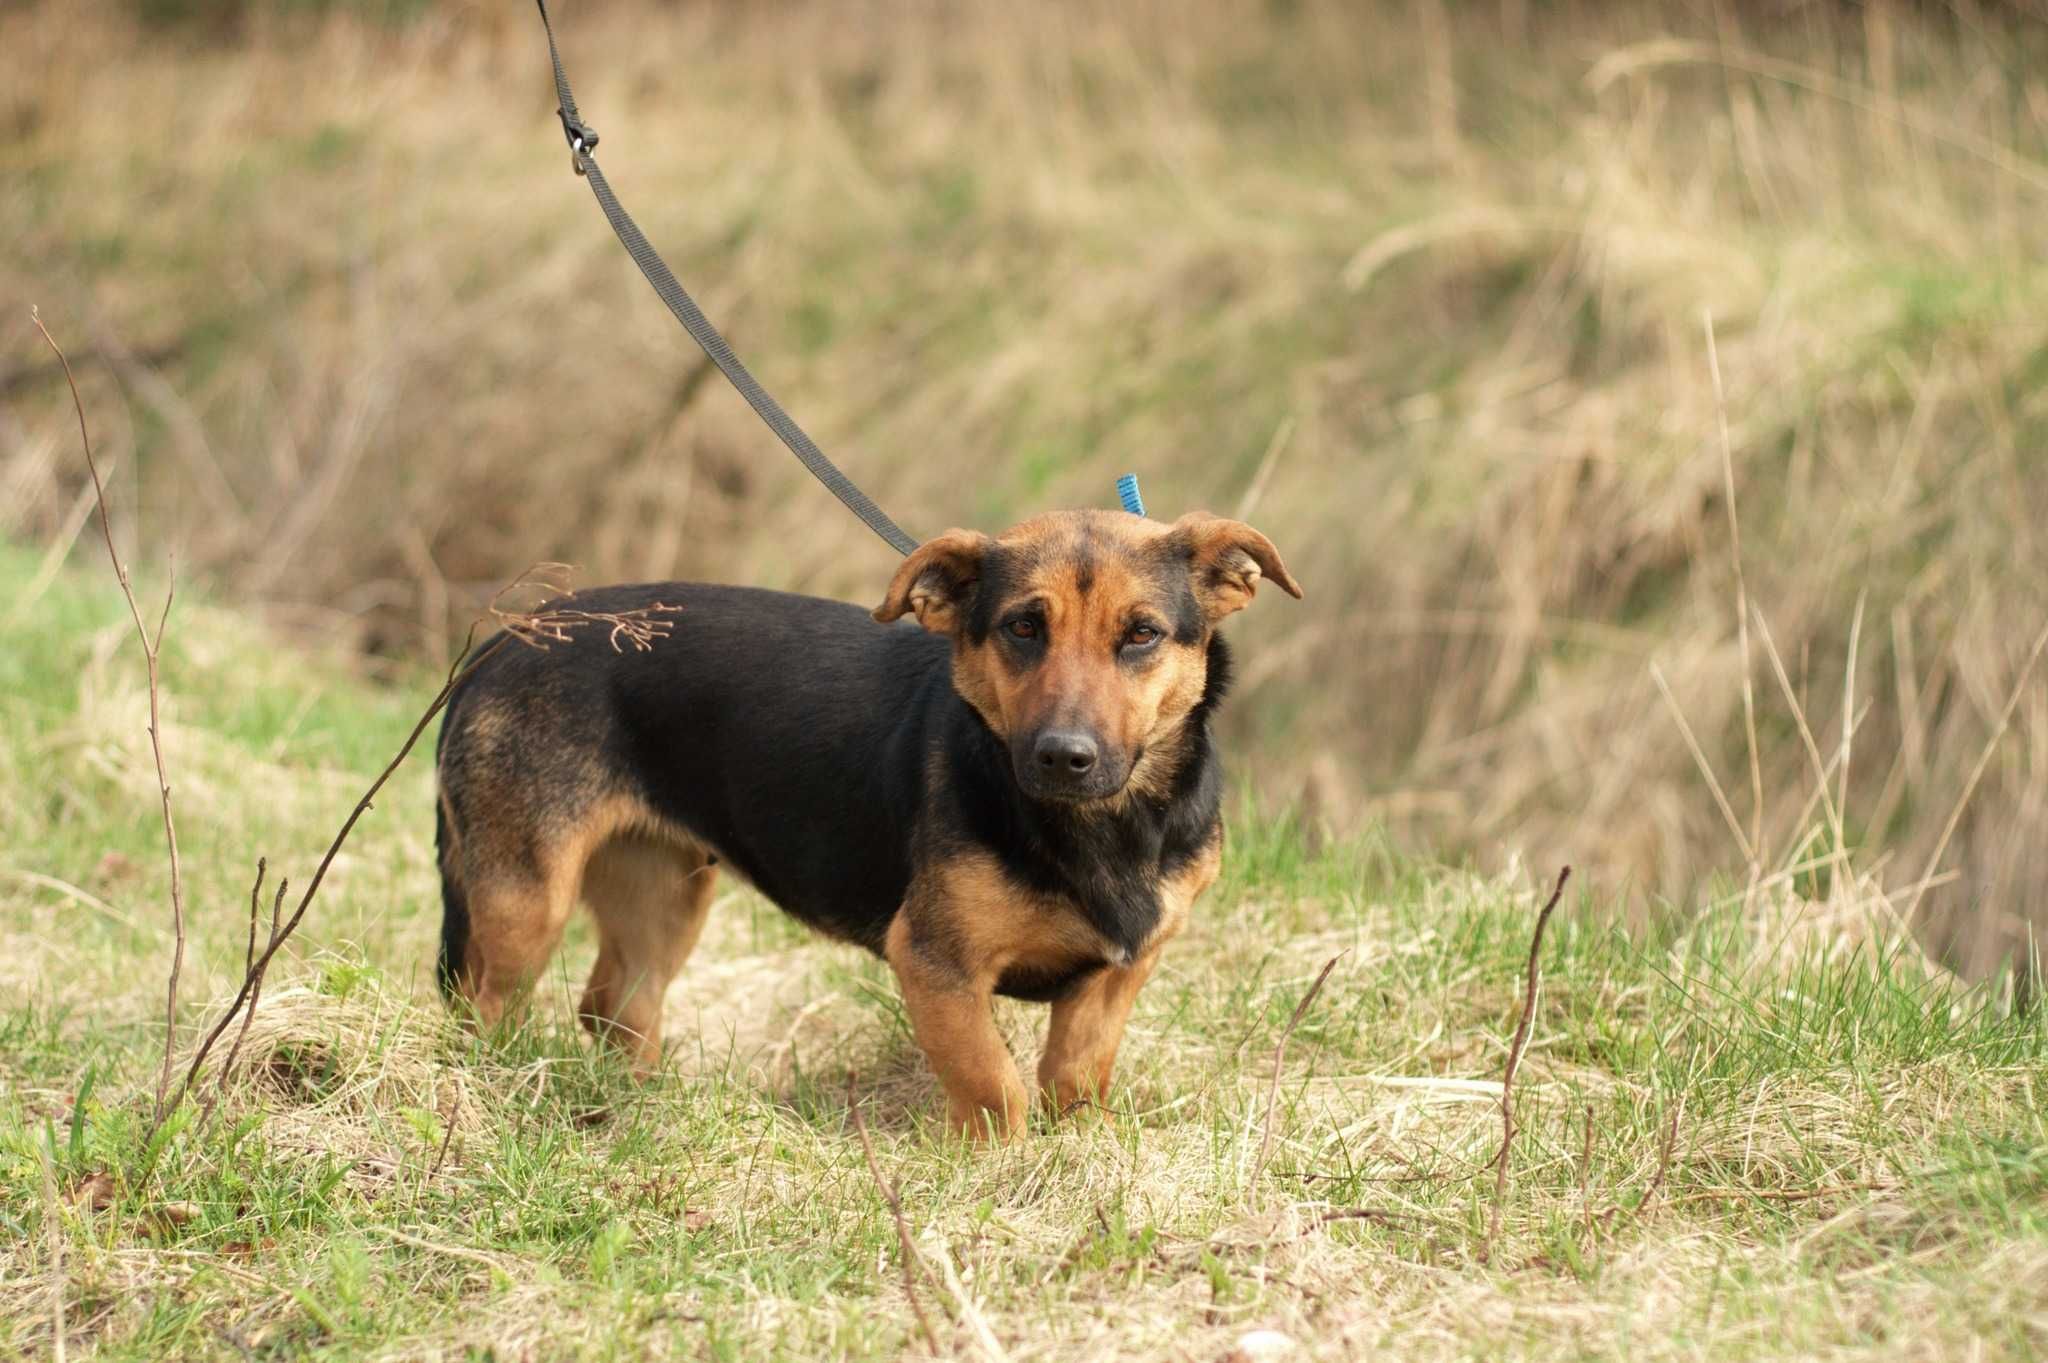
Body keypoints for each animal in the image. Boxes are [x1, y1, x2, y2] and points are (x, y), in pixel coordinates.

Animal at [436, 503, 1294, 1129]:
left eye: (1142, 634)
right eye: (1022, 627)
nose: (1062, 756)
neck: (1104, 825)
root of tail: (497, 646)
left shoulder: (1116, 974)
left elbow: (1073, 1081)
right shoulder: (935, 962)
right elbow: (996, 1088)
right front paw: (1001, 1176)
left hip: (664, 894)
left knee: (616, 1005)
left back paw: (641, 1108)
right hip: (525, 904)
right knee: (486, 1008)